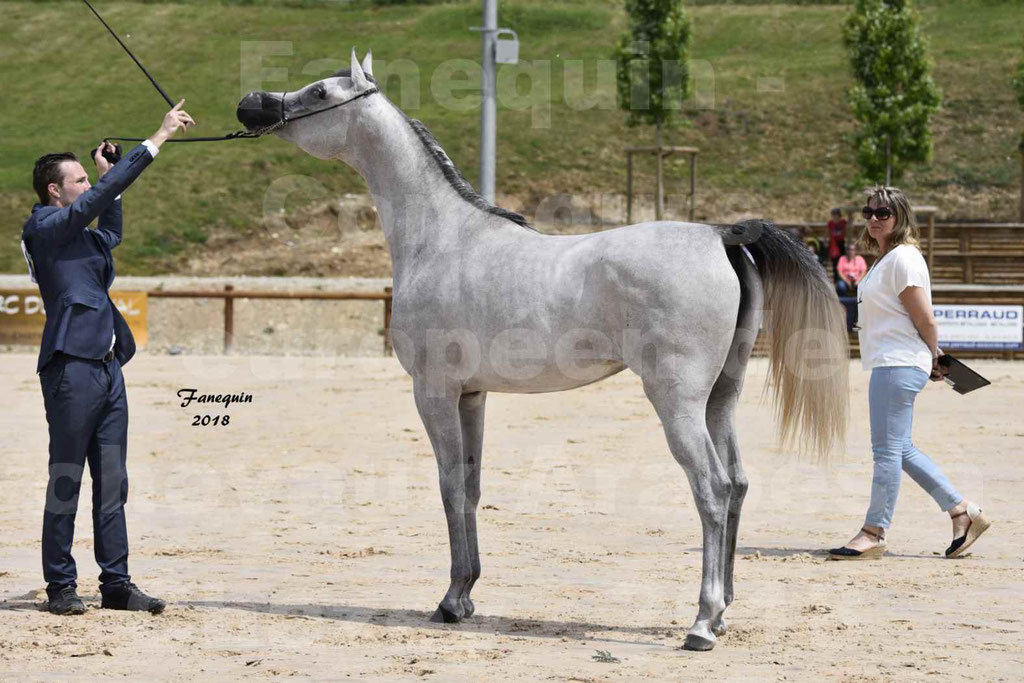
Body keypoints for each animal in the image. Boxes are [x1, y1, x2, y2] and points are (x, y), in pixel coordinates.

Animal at [237, 49, 847, 651]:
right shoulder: (472, 396)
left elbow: (449, 485)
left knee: (712, 489)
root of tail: (721, 235)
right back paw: (722, 616)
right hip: (721, 396)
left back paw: (701, 622)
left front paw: (449, 602)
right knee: (738, 483)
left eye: (320, 92)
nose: (252, 103)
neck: (443, 239)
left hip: (677, 402)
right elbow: (472, 485)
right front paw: (465, 593)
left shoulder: (433, 393)